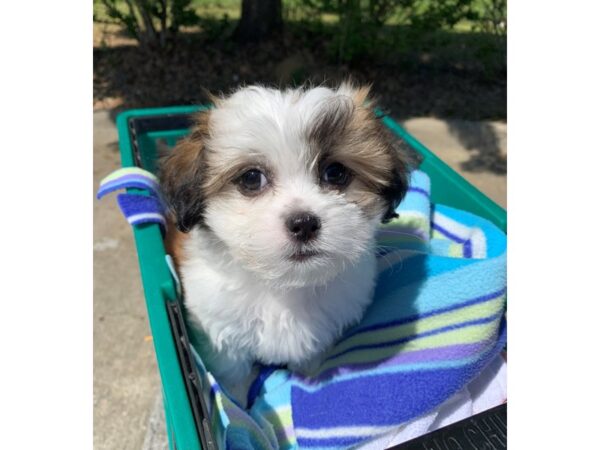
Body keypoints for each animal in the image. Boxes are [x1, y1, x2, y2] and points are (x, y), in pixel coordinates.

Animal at [159, 82, 410, 396]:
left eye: (336, 173)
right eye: (251, 178)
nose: (304, 224)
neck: (284, 287)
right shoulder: (221, 335)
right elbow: (233, 374)